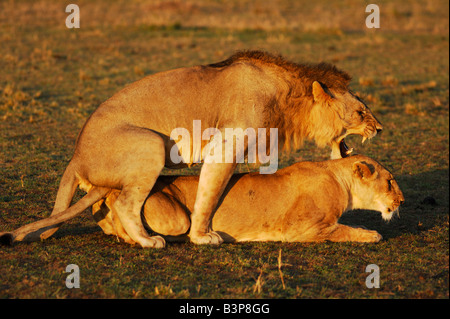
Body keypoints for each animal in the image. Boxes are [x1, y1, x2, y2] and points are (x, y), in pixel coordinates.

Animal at [4, 51, 384, 249]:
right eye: (361, 112)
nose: (379, 128)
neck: (289, 101)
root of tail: (75, 155)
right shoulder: (226, 146)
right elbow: (209, 193)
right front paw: (202, 236)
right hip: (151, 144)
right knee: (127, 203)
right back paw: (148, 241)